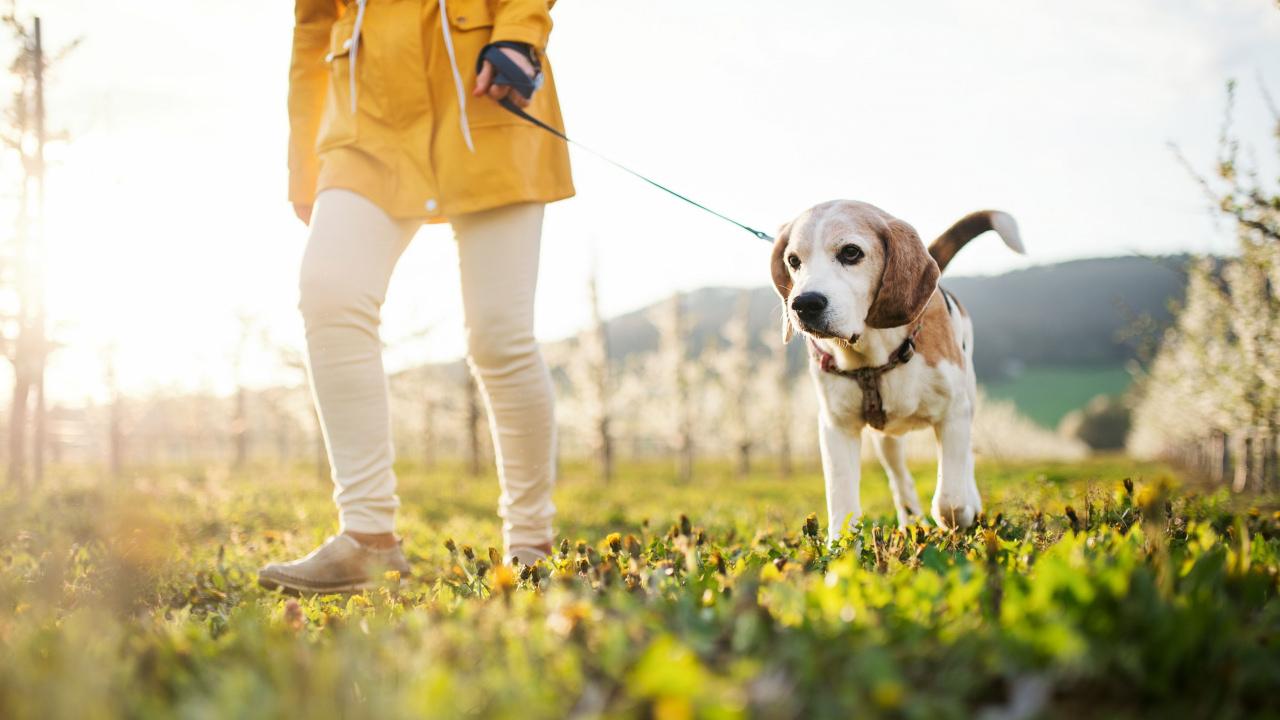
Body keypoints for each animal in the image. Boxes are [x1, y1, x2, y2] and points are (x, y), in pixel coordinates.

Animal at [768, 199, 1029, 532]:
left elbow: (951, 501)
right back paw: (910, 521)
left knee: (964, 465)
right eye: (793, 260)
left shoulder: (955, 414)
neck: (875, 354)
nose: (804, 304)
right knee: (899, 478)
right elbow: (842, 503)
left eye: (851, 252)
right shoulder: (836, 426)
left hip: (967, 401)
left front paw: (963, 513)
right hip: (886, 439)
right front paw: (840, 542)